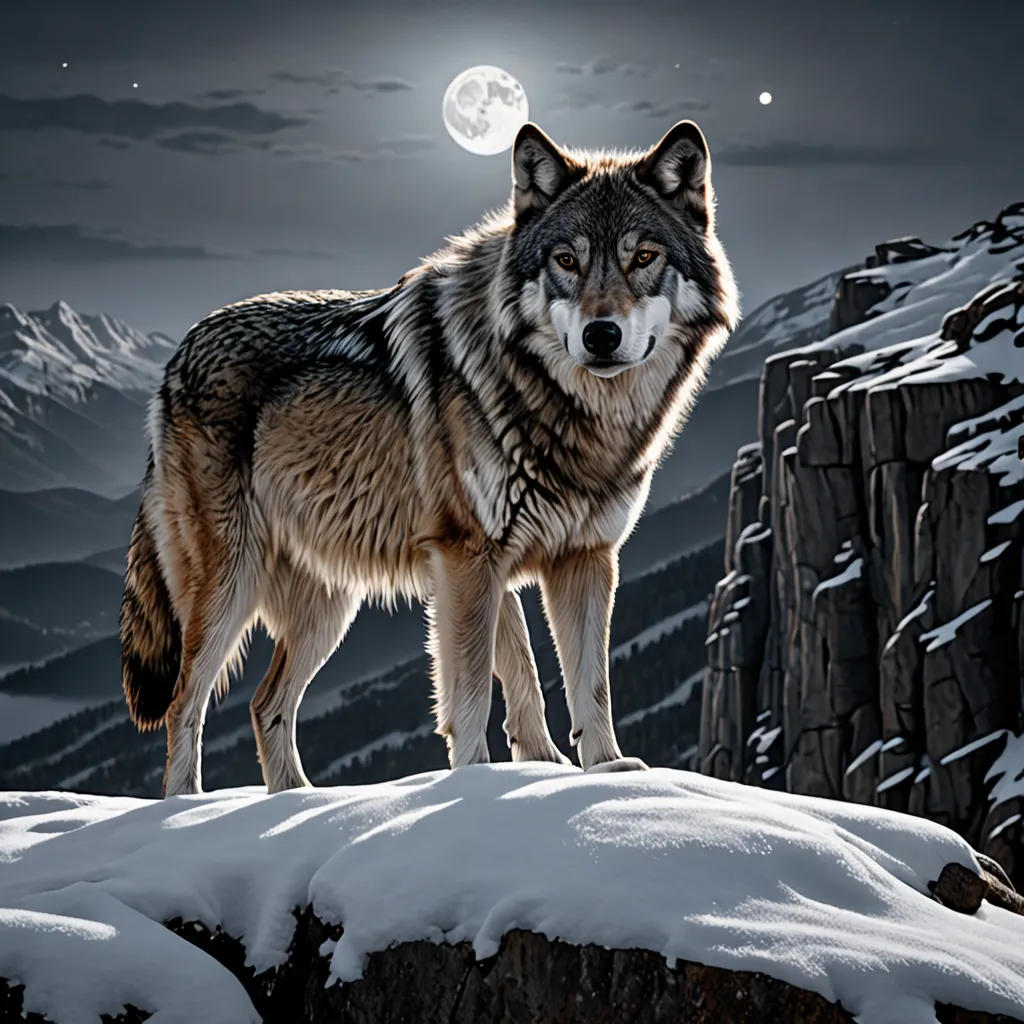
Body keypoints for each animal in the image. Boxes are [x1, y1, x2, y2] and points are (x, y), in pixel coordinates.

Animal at [120, 120, 739, 797]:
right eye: (566, 261)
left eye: (643, 258)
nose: (601, 336)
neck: (562, 412)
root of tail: (177, 357)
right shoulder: (467, 557)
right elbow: (471, 690)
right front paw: (475, 783)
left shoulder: (582, 558)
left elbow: (584, 682)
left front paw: (604, 772)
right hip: (233, 583)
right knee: (186, 702)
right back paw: (189, 807)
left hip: (328, 607)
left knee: (264, 704)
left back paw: (298, 800)